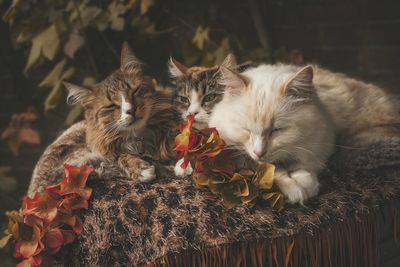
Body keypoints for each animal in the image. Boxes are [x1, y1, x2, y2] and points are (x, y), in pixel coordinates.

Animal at [64, 43, 177, 182]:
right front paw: (140, 169)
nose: (131, 110)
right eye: (111, 106)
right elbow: (120, 157)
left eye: (134, 92)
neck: (139, 138)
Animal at [209, 65, 400, 205]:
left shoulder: (319, 144)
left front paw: (305, 183)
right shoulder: (237, 153)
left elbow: (302, 164)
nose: (259, 152)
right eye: (246, 130)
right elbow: (271, 170)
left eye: (276, 130)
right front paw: (294, 189)